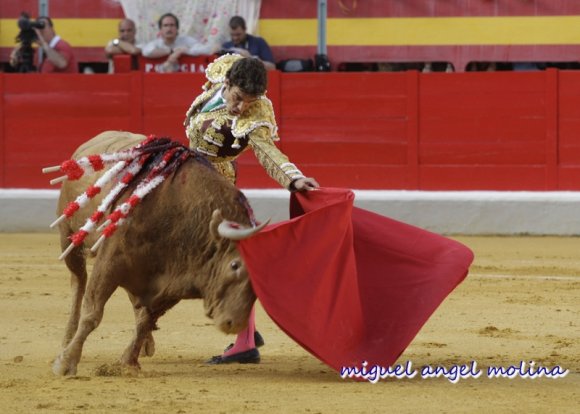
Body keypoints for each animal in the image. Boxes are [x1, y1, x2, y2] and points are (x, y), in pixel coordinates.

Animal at [51, 131, 266, 376]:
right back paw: (66, 339)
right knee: (78, 282)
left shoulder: (172, 282)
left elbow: (146, 320)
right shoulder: (110, 261)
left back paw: (146, 344)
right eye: (234, 265)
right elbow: (92, 314)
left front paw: (129, 362)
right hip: (68, 237)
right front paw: (65, 363)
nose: (235, 324)